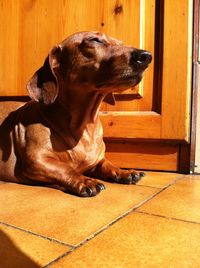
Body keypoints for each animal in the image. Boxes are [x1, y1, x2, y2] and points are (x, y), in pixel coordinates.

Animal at [0, 32, 152, 198]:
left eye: (121, 43)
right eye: (95, 40)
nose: (146, 56)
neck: (84, 126)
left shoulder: (96, 160)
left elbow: (106, 163)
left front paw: (123, 172)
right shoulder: (37, 161)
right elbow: (65, 168)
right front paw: (85, 180)